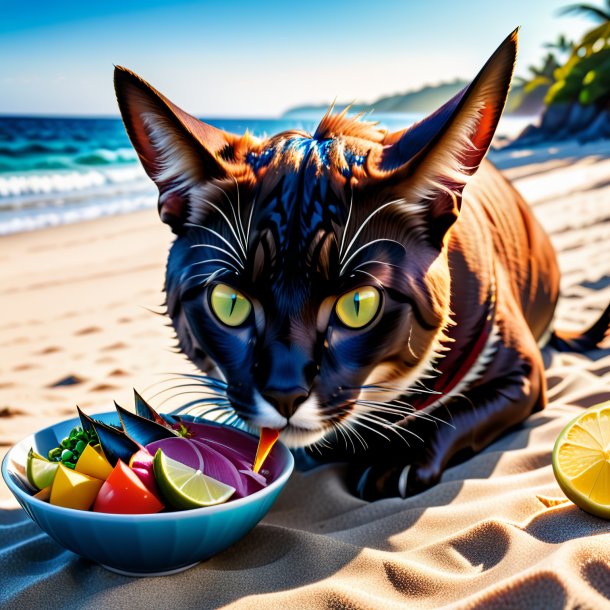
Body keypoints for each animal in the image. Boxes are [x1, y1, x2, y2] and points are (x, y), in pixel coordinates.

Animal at [115, 30, 608, 496]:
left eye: (358, 305)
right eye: (229, 303)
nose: (284, 392)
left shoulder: (521, 371)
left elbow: (458, 410)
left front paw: (397, 460)